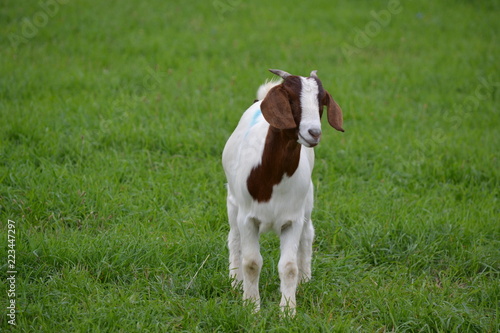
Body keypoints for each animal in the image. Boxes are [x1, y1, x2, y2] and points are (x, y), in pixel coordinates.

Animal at [222, 68, 344, 312]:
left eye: (322, 101)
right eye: (291, 99)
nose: (314, 132)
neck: (272, 179)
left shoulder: (292, 220)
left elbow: (288, 266)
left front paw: (288, 311)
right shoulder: (247, 218)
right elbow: (251, 263)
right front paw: (251, 307)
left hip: (307, 202)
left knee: (308, 234)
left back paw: (305, 280)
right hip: (232, 203)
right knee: (234, 237)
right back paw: (235, 281)